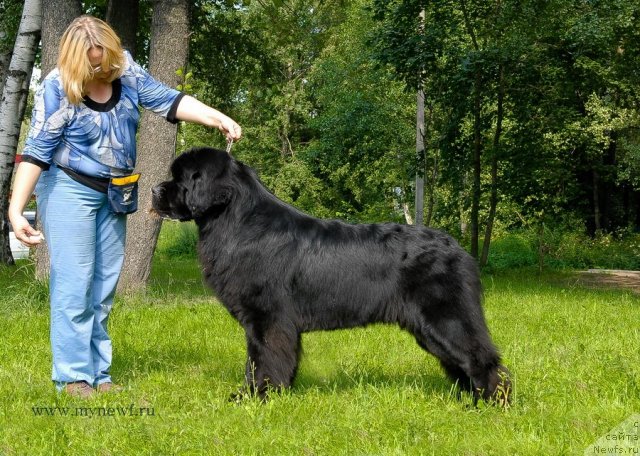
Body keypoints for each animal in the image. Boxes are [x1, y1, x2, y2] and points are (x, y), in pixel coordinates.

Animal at [150, 146, 510, 402]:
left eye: (182, 178)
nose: (154, 189)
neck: (236, 222)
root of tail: (458, 248)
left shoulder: (267, 318)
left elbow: (262, 358)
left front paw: (255, 397)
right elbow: (273, 359)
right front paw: (275, 392)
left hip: (447, 319)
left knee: (483, 359)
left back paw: (494, 403)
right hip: (430, 329)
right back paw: (469, 400)